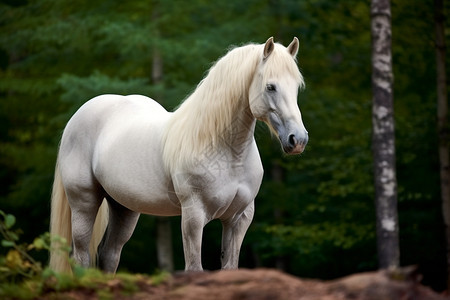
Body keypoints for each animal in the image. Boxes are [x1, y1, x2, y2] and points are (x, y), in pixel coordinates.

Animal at [50, 36, 310, 274]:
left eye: (297, 87)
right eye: (270, 87)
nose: (297, 139)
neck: (227, 152)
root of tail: (79, 116)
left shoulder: (239, 218)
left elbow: (230, 267)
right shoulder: (194, 216)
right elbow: (194, 269)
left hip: (124, 208)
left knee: (109, 255)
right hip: (84, 202)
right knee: (81, 256)